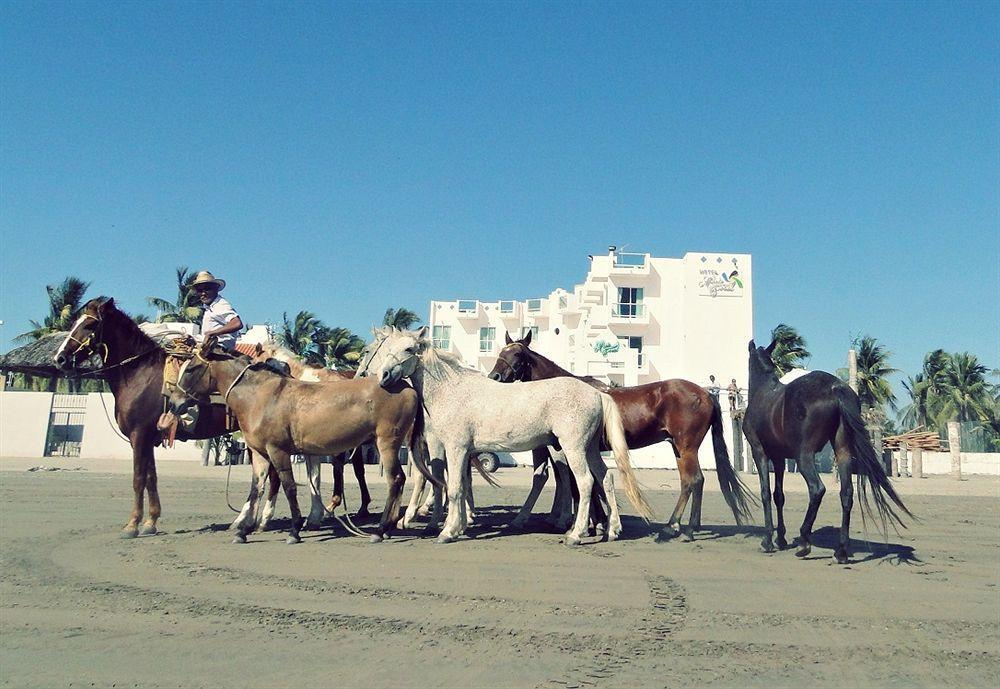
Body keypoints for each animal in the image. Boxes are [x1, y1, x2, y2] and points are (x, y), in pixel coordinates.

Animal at [55, 296, 238, 536]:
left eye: (89, 325)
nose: (60, 359)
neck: (138, 373)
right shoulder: (148, 438)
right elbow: (151, 477)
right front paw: (151, 522)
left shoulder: (139, 435)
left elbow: (138, 478)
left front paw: (132, 524)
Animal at [168, 338, 434, 544]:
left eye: (190, 369)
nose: (173, 403)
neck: (261, 396)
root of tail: (407, 386)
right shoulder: (260, 453)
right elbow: (256, 488)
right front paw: (244, 529)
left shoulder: (278, 451)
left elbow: (289, 487)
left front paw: (295, 529)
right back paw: (388, 526)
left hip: (387, 443)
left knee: (395, 480)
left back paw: (380, 529)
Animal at [356, 326, 652, 544]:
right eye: (387, 349)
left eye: (408, 349)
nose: (383, 376)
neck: (452, 389)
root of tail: (597, 393)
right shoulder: (462, 452)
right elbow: (461, 486)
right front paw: (459, 525)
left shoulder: (455, 448)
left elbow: (454, 488)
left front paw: (447, 531)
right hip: (589, 449)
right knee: (606, 478)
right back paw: (612, 530)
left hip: (573, 448)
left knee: (586, 482)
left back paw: (575, 534)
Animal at [488, 330, 752, 540]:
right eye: (502, 351)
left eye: (518, 354)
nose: (494, 377)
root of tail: (706, 394)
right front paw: (598, 523)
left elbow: (581, 485)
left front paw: (591, 525)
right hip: (679, 448)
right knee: (695, 481)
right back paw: (684, 526)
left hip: (686, 447)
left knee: (692, 480)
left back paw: (680, 527)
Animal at [740, 336, 912, 560]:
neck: (764, 392)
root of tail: (834, 387)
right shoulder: (778, 458)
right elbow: (779, 496)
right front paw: (781, 539)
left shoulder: (759, 452)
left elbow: (765, 493)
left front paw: (768, 540)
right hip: (842, 451)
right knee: (846, 493)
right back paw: (841, 550)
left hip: (804, 456)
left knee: (817, 489)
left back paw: (805, 542)